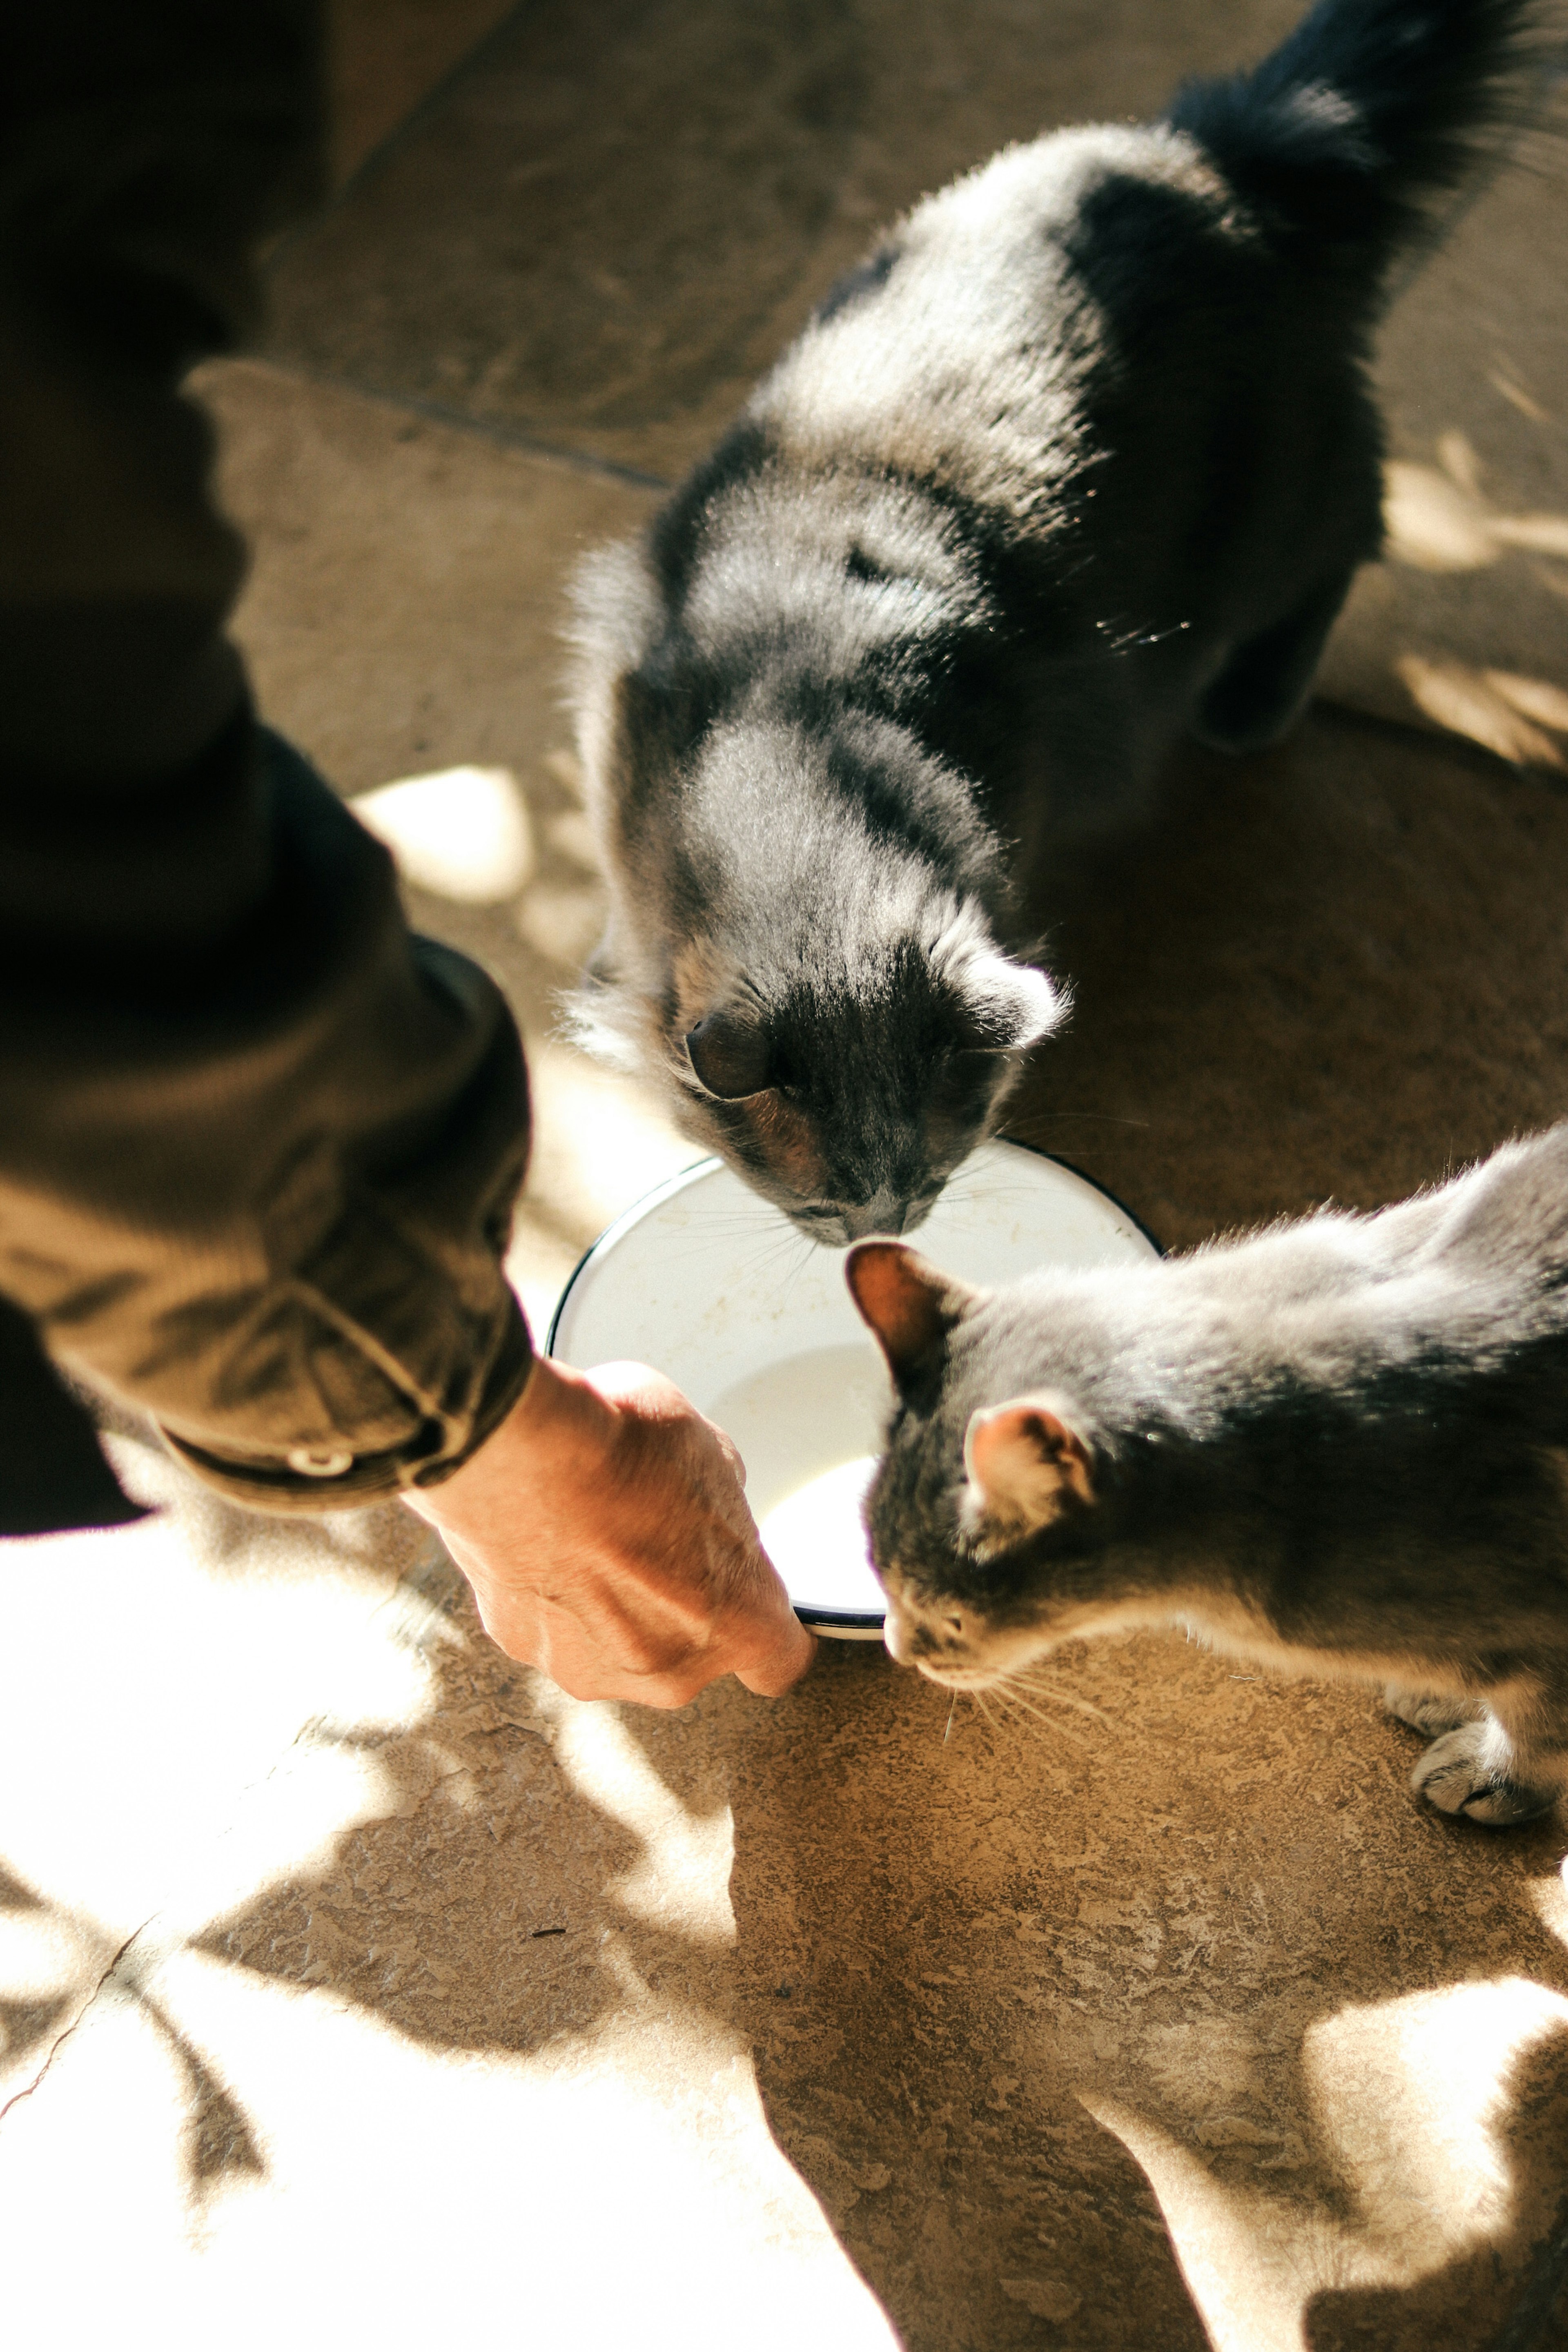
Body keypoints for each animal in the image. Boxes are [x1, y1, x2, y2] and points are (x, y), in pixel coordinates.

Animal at [561, 0, 1542, 1251]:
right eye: (822, 1205)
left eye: (930, 1179)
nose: (883, 1237)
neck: (789, 716)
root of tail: (1221, 151)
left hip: (1277, 506)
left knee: (1354, 527)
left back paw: (1250, 703)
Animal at [846, 1129, 1568, 1825]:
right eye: (876, 1574)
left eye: (954, 1618)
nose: (898, 1649)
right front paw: (1453, 1698)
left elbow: (1538, 1727)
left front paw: (1496, 1775)